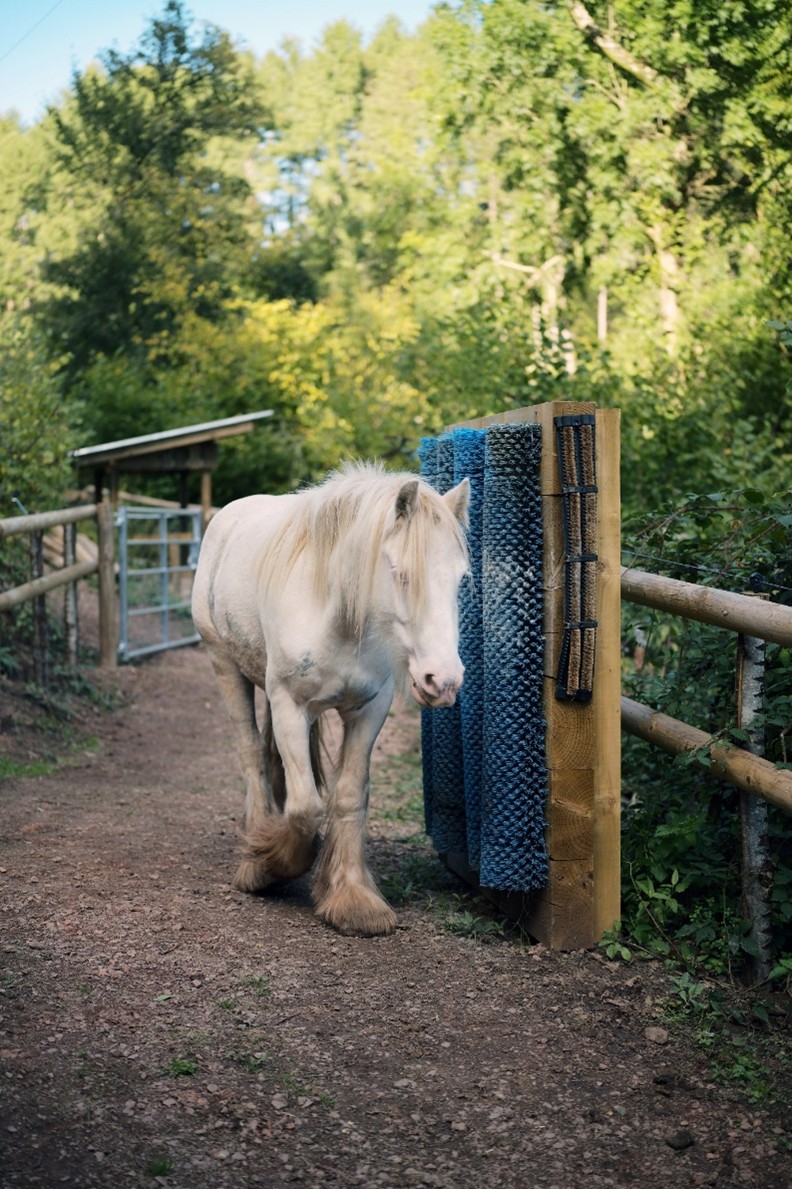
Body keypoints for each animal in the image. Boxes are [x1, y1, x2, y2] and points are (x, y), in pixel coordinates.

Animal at [191, 461, 470, 936]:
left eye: (460, 580)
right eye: (400, 573)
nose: (443, 680)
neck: (335, 613)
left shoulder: (368, 712)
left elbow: (347, 796)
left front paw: (353, 899)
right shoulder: (289, 705)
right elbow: (306, 806)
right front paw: (271, 863)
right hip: (225, 667)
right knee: (252, 757)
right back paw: (256, 847)